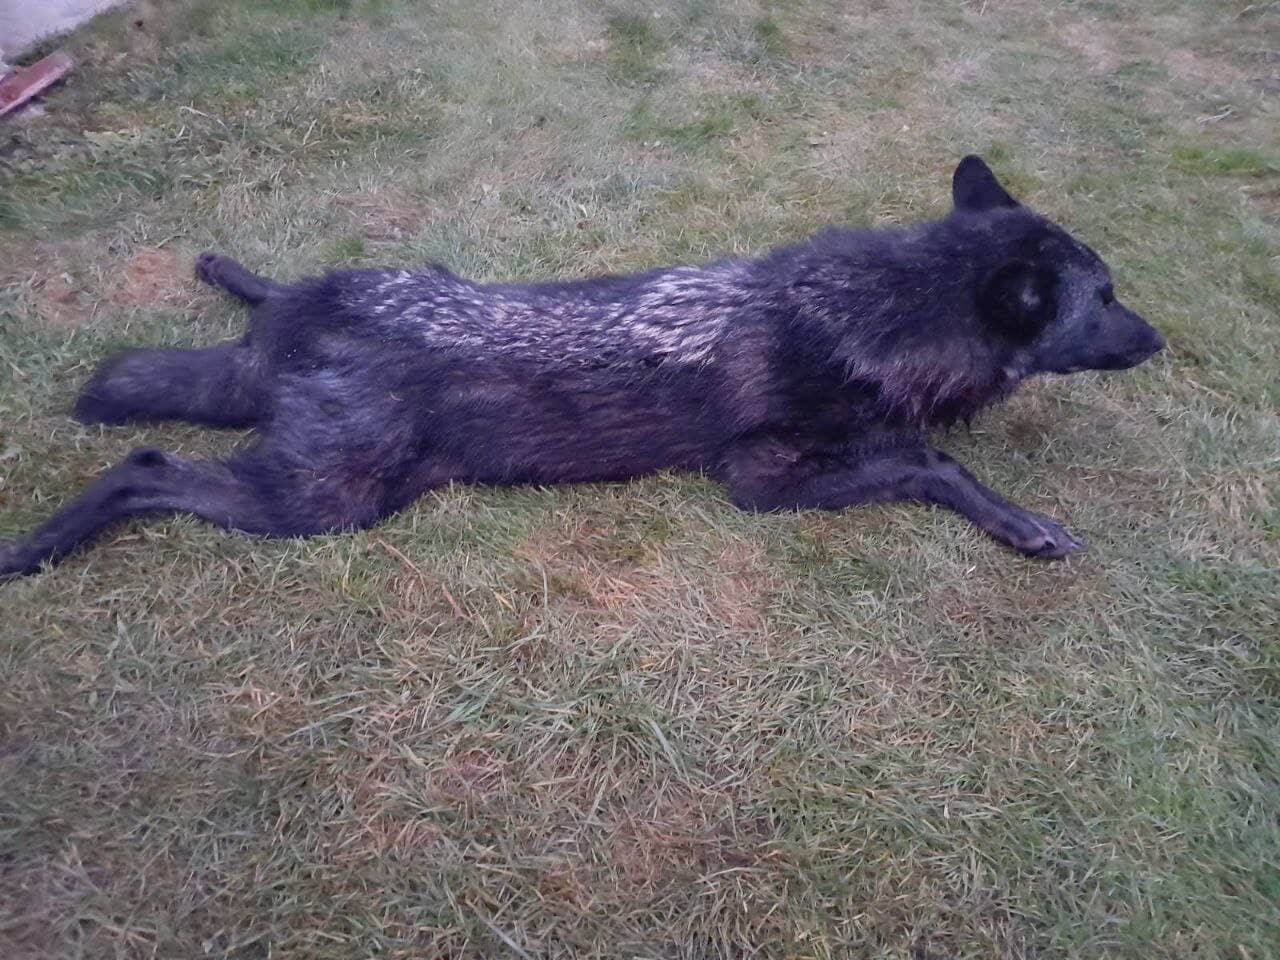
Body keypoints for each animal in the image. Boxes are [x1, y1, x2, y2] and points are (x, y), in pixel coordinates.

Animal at [0, 156, 1165, 580]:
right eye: (1107, 298)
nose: (1159, 340)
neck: (876, 305)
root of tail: (296, 338)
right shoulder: (763, 481)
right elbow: (930, 463)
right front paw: (1021, 521)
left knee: (265, 297)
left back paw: (234, 273)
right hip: (323, 502)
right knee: (144, 464)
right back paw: (37, 549)